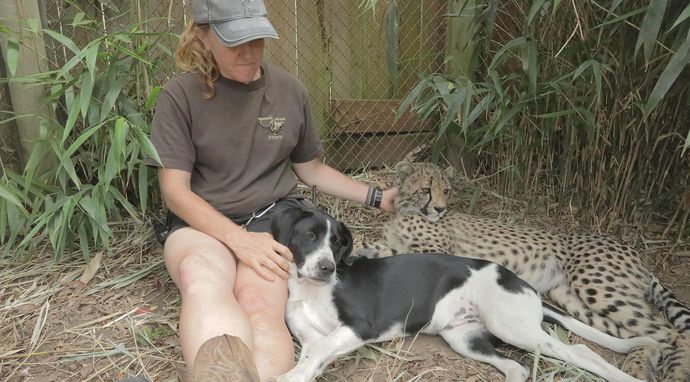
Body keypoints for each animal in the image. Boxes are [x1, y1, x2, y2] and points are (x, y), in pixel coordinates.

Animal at [268, 206, 652, 382]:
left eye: (337, 243)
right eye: (309, 236)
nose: (327, 268)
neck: (311, 291)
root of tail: (524, 285)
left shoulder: (360, 326)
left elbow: (320, 350)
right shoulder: (311, 337)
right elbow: (312, 354)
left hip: (511, 327)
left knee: (580, 352)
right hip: (465, 338)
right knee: (517, 367)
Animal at [360, 160, 688, 380]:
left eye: (447, 190)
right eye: (426, 190)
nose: (440, 209)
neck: (407, 211)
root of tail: (633, 251)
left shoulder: (439, 253)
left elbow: (393, 252)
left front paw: (365, 248)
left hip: (595, 286)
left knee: (670, 330)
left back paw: (654, 368)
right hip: (572, 296)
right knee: (644, 331)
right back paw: (642, 353)